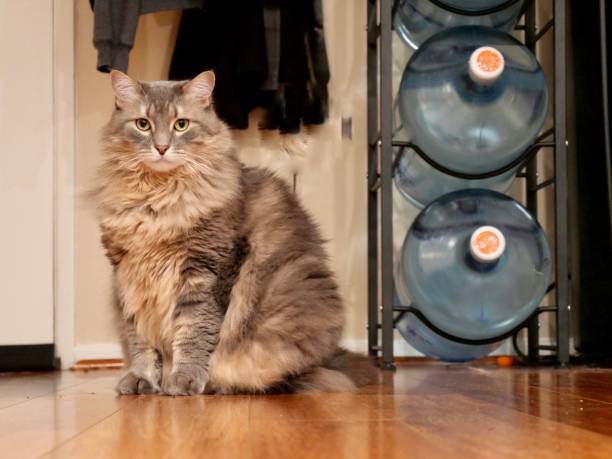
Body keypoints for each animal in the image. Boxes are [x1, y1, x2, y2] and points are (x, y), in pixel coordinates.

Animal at [95, 71, 372, 396]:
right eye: (143, 124)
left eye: (181, 124)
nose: (161, 148)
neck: (158, 199)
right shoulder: (129, 276)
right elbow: (140, 340)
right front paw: (144, 379)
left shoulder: (205, 271)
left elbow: (193, 332)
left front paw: (183, 380)